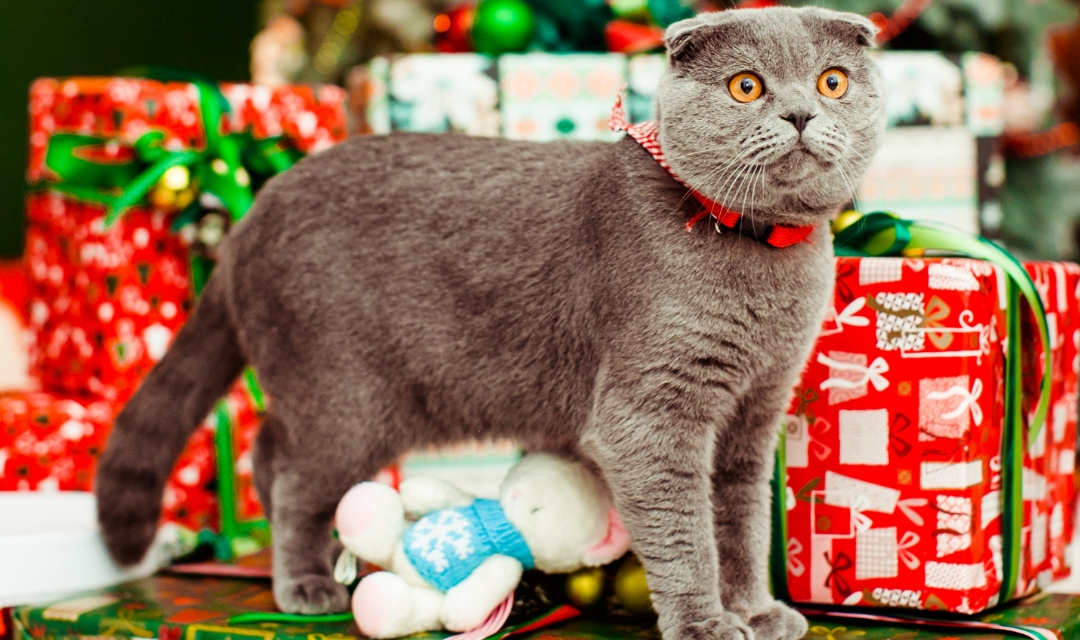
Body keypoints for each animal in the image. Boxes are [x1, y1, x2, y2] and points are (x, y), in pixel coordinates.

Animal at [95, 8, 885, 638]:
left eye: (832, 82)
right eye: (746, 86)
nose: (800, 113)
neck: (763, 257)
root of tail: (251, 215)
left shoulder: (755, 411)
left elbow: (740, 522)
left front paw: (755, 610)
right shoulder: (651, 413)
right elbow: (683, 529)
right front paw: (703, 623)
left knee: (268, 451)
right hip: (343, 395)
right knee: (292, 479)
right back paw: (307, 585)